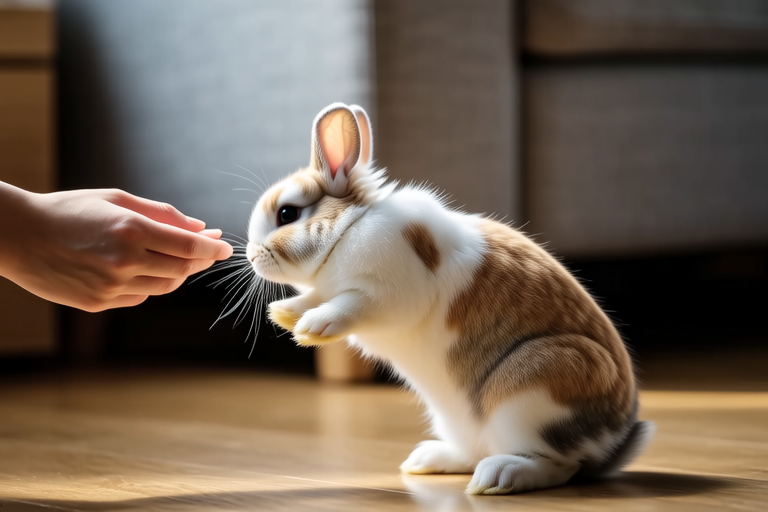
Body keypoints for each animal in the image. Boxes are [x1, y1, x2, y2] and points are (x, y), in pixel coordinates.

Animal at [245, 102, 654, 495]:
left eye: (287, 213)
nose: (250, 256)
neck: (348, 230)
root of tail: (612, 443)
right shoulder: (330, 287)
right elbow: (317, 294)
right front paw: (283, 314)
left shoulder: (389, 293)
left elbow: (349, 304)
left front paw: (313, 327)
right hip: (456, 418)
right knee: (478, 452)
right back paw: (426, 459)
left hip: (534, 391)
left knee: (560, 464)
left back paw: (500, 477)